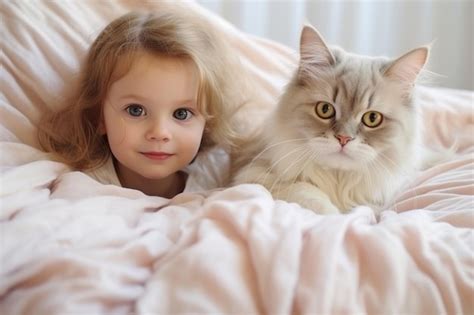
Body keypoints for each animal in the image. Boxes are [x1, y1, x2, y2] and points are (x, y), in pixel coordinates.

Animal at [232, 24, 430, 215]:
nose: (344, 139)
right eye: (325, 110)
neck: (338, 181)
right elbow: (306, 191)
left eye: (372, 118)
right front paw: (335, 214)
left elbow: (371, 208)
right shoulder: (251, 176)